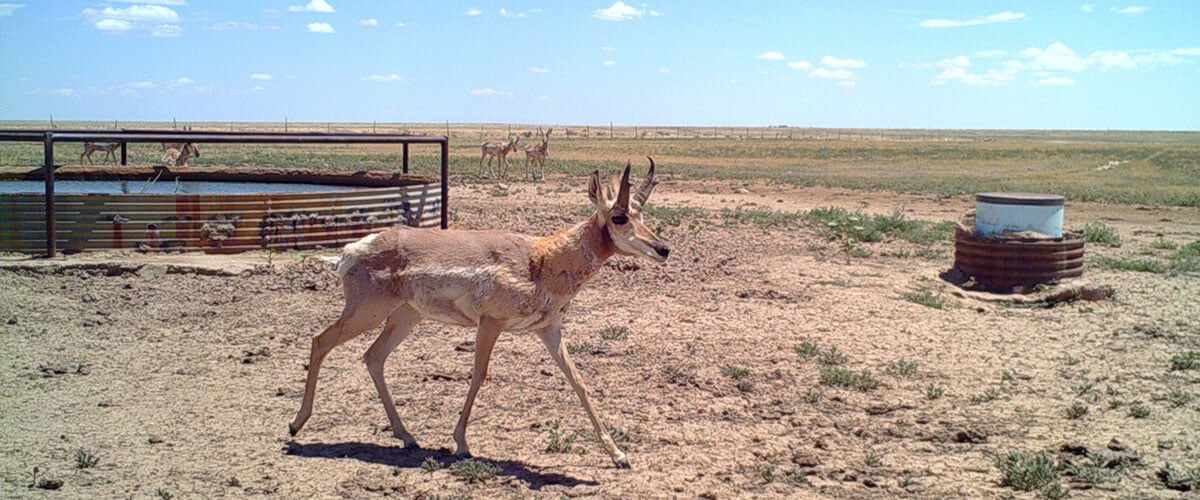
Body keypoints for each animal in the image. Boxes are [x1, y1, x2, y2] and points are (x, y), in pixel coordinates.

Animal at [289, 159, 668, 469]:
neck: (541, 259)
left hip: (404, 318)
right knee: (321, 341)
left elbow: (578, 380)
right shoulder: (490, 323)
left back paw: (407, 436)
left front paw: (619, 455)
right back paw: (296, 424)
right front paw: (461, 443)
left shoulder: (549, 330)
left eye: (642, 215)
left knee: (373, 357)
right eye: (619, 216)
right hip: (366, 312)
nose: (663, 248)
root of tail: (354, 249)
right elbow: (479, 375)